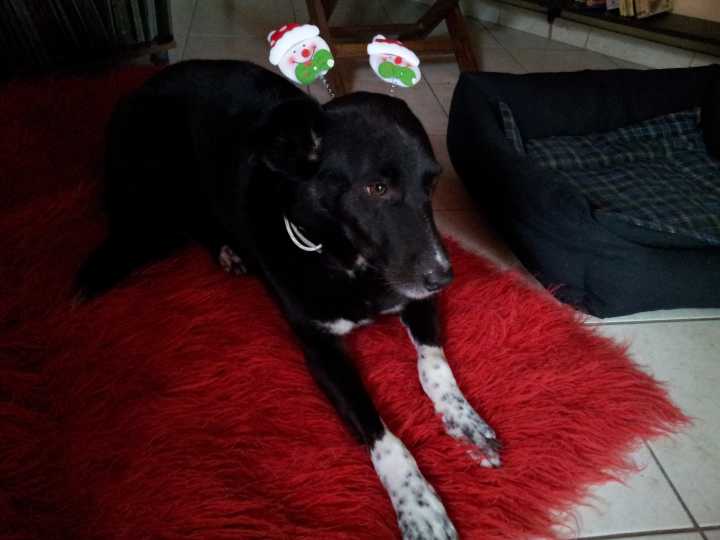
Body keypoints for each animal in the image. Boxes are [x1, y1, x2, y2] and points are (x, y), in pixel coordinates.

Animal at [77, 60, 501, 539]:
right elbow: (381, 435)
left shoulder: (415, 298)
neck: (343, 258)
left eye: (432, 185)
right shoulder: (320, 351)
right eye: (376, 188)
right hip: (160, 189)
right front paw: (418, 504)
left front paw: (464, 417)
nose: (444, 276)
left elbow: (434, 366)